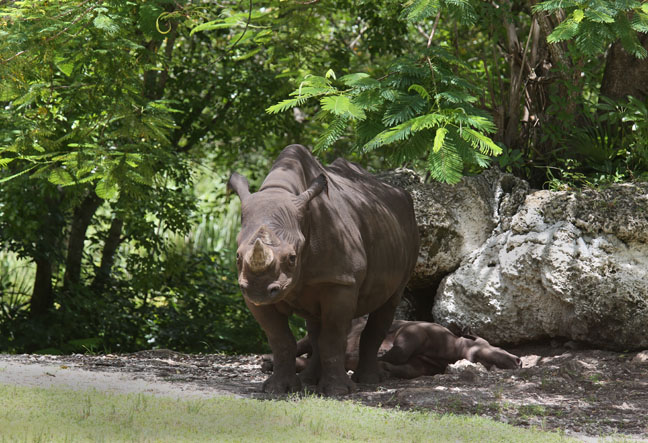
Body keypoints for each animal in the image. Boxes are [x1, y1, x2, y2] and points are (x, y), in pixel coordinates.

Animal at [228, 144, 419, 395]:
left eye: (292, 258)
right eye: (238, 256)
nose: (259, 291)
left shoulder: (341, 281)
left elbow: (333, 337)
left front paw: (337, 392)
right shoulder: (250, 291)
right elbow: (280, 339)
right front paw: (277, 389)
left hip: (409, 229)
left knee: (388, 302)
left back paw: (368, 381)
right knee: (315, 325)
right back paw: (310, 380)